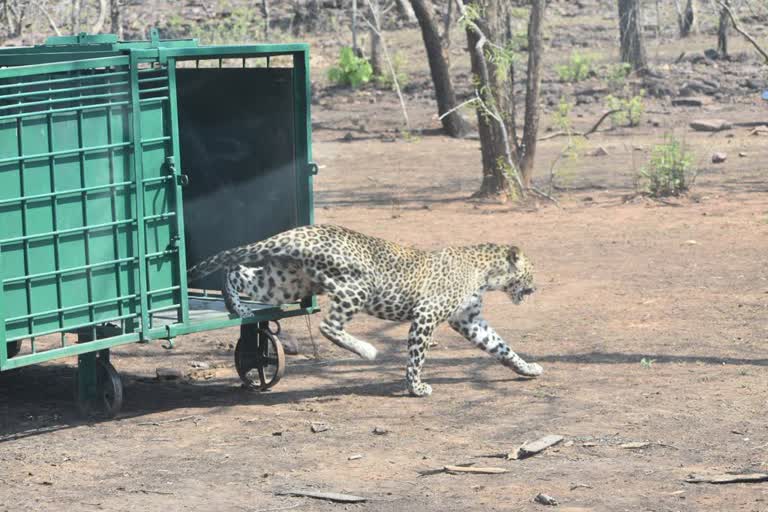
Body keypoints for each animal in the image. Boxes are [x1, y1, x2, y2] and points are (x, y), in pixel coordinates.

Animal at [188, 224, 540, 396]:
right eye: (530, 272)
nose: (535, 288)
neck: (486, 273)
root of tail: (301, 230)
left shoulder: (469, 320)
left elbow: (501, 346)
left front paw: (527, 368)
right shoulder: (426, 315)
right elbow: (417, 358)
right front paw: (415, 387)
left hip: (285, 281)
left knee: (236, 271)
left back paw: (238, 307)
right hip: (355, 285)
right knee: (328, 326)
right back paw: (366, 350)